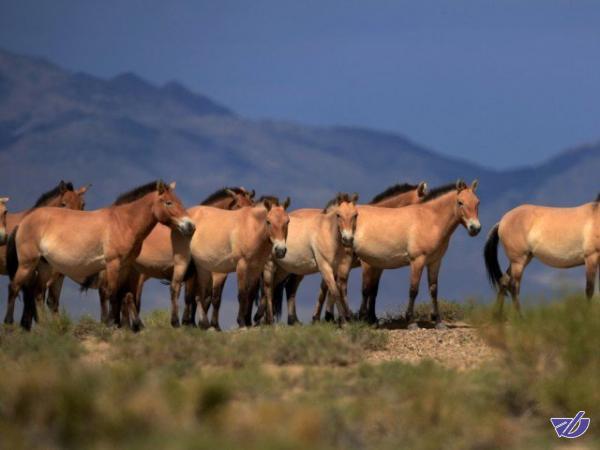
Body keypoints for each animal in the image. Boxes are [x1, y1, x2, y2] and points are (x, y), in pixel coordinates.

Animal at [186, 195, 292, 328]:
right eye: (268, 221)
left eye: (287, 221)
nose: (280, 250)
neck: (252, 228)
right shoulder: (241, 265)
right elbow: (242, 294)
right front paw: (241, 322)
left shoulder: (256, 268)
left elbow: (250, 294)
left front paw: (247, 321)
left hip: (202, 267)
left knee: (199, 293)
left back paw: (203, 323)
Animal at [350, 180, 480, 330]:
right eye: (460, 202)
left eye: (477, 202)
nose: (475, 228)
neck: (429, 220)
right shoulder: (417, 261)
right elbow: (413, 290)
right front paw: (411, 321)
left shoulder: (435, 262)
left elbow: (433, 290)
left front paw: (438, 321)